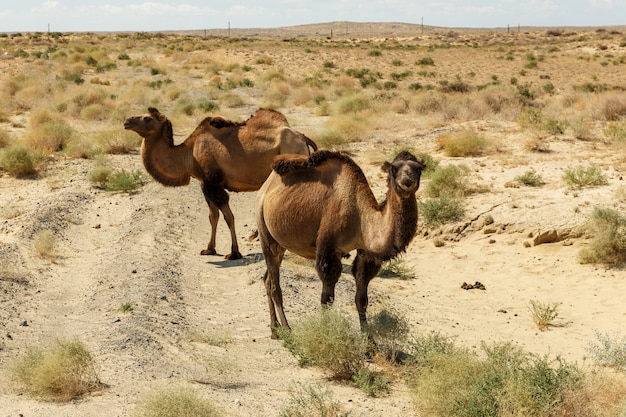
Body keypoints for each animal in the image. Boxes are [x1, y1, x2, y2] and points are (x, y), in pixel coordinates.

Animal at [122, 105, 316, 258]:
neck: (189, 153)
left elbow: (228, 216)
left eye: (147, 118)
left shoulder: (213, 182)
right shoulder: (204, 183)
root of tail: (303, 137)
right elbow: (212, 216)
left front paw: (234, 252)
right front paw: (209, 249)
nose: (126, 121)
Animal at [255, 150, 424, 338]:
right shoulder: (328, 250)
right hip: (264, 231)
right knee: (275, 286)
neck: (359, 216)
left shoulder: (365, 252)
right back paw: (286, 329)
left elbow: (361, 299)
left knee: (268, 279)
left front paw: (368, 339)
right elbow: (326, 299)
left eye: (419, 169)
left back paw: (274, 330)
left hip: (280, 243)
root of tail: (266, 187)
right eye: (394, 168)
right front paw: (326, 333)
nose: (407, 181)